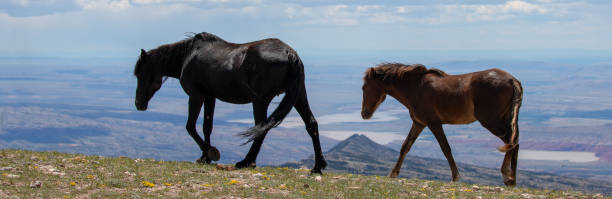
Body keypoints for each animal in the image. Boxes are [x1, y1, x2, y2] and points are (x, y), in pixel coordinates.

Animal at [132, 31, 328, 173]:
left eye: (140, 74)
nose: (138, 104)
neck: (188, 56)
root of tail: (290, 53)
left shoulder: (196, 95)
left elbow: (190, 126)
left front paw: (212, 152)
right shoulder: (210, 96)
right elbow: (207, 126)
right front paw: (205, 157)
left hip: (260, 101)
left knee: (261, 128)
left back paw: (247, 161)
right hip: (298, 95)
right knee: (311, 124)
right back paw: (318, 167)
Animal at [360, 63, 524, 186]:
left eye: (364, 88)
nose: (364, 114)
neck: (415, 88)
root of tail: (512, 80)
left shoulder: (434, 123)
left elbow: (446, 148)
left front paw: (456, 177)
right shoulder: (419, 123)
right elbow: (405, 146)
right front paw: (393, 173)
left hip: (491, 121)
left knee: (511, 142)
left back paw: (506, 175)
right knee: (515, 142)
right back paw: (512, 180)